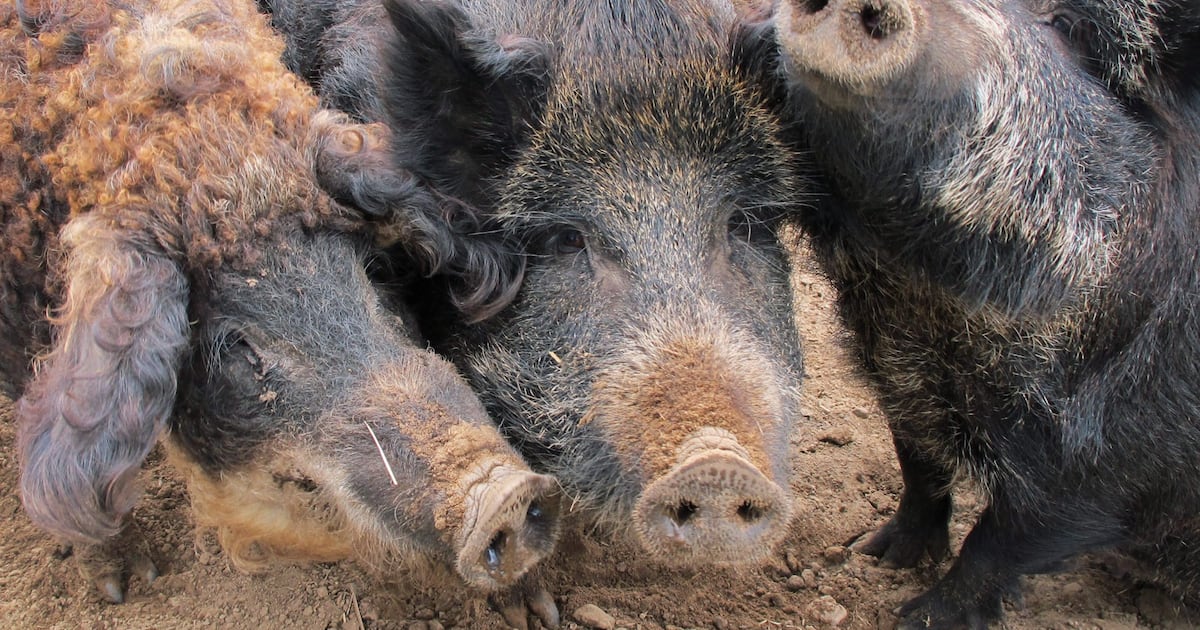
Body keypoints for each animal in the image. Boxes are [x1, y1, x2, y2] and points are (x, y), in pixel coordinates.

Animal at [732, 0, 1200, 626]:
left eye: (1069, 28)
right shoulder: (898, 377)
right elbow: (918, 467)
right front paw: (871, 554)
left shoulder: (1121, 455)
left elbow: (1001, 542)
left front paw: (915, 616)